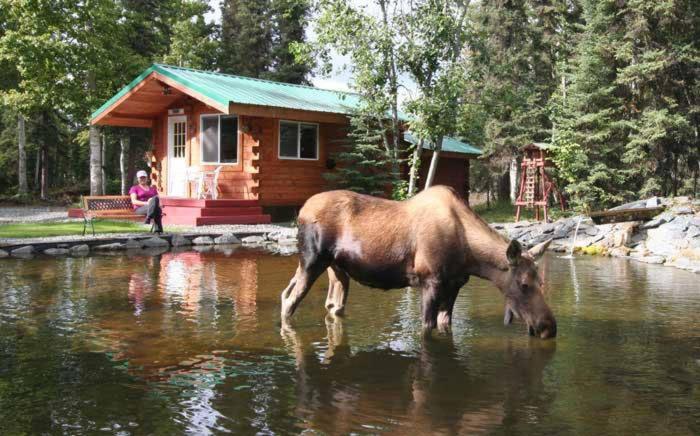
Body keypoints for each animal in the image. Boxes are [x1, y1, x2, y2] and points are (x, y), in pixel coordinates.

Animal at [280, 186, 556, 338]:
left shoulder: (455, 285)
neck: (470, 257)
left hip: (336, 270)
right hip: (312, 261)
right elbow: (427, 328)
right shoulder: (429, 281)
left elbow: (445, 325)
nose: (549, 327)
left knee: (328, 305)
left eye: (542, 282)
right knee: (289, 301)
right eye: (523, 284)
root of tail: (301, 211)